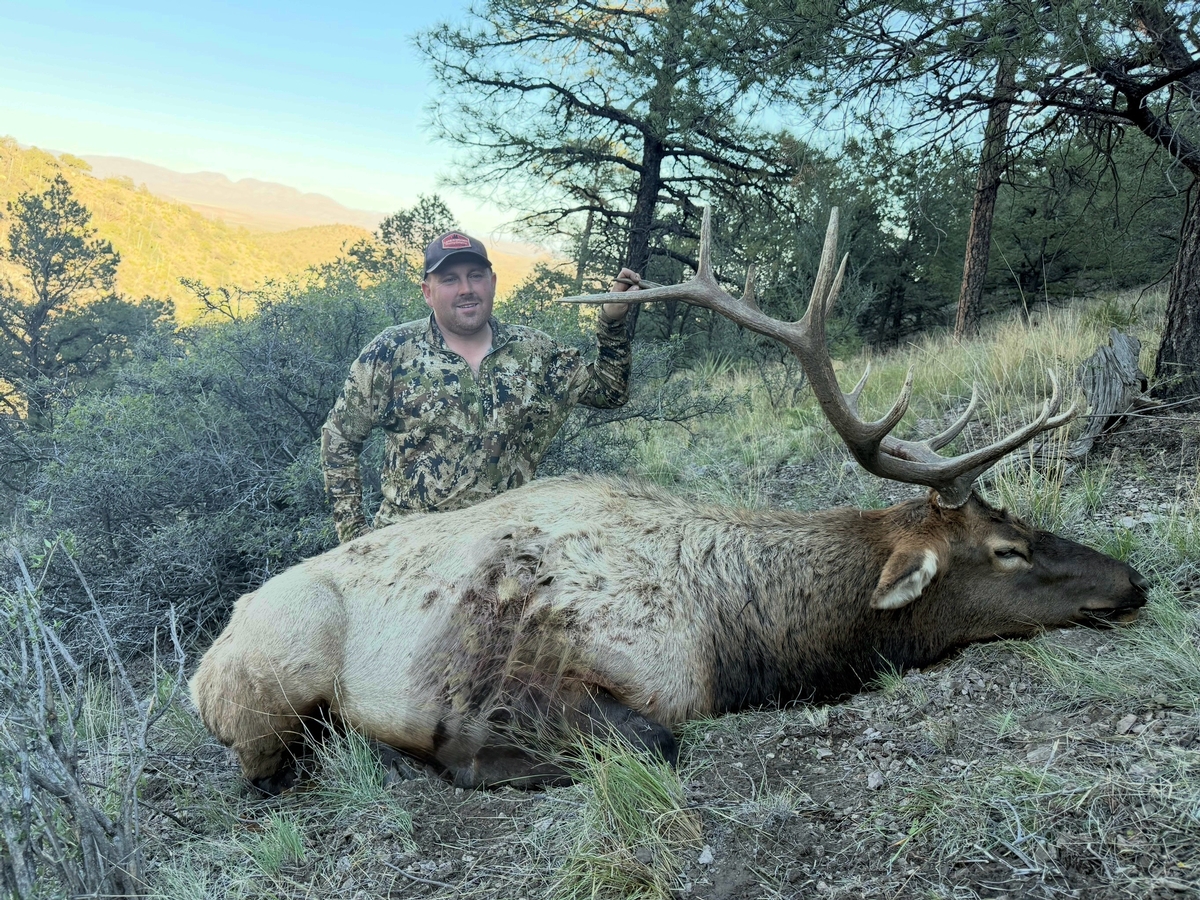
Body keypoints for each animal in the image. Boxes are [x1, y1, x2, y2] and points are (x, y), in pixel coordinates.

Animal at [189, 209, 1148, 792]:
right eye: (1007, 550)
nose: (1134, 581)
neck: (738, 640)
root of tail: (199, 668)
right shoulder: (526, 687)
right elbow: (656, 739)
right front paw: (466, 765)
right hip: (277, 673)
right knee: (264, 770)